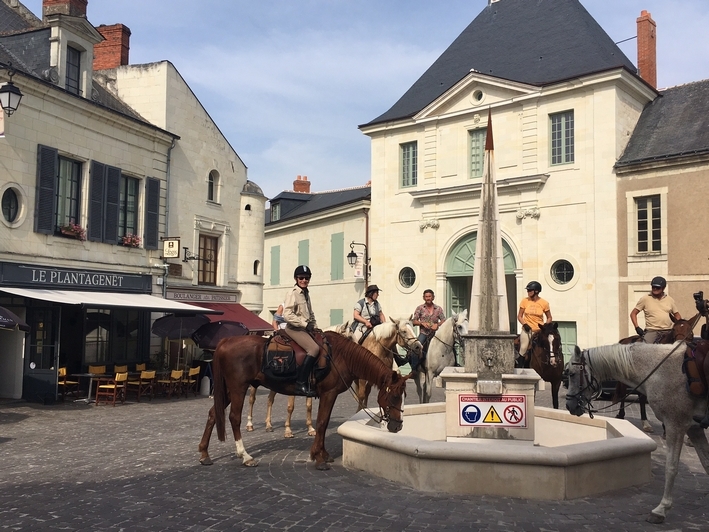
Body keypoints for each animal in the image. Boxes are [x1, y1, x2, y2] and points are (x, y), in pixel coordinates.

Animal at [199, 330, 410, 472]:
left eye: (403, 396)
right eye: (394, 396)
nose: (398, 426)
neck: (340, 356)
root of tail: (226, 341)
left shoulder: (329, 395)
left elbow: (324, 422)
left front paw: (322, 454)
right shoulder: (329, 393)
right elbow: (322, 422)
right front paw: (318, 458)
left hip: (227, 390)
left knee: (212, 414)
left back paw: (204, 454)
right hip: (238, 388)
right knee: (234, 418)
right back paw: (245, 456)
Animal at [564, 340, 708, 524]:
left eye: (572, 374)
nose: (569, 405)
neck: (659, 371)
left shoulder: (675, 425)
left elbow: (671, 467)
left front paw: (661, 509)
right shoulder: (693, 428)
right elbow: (706, 462)